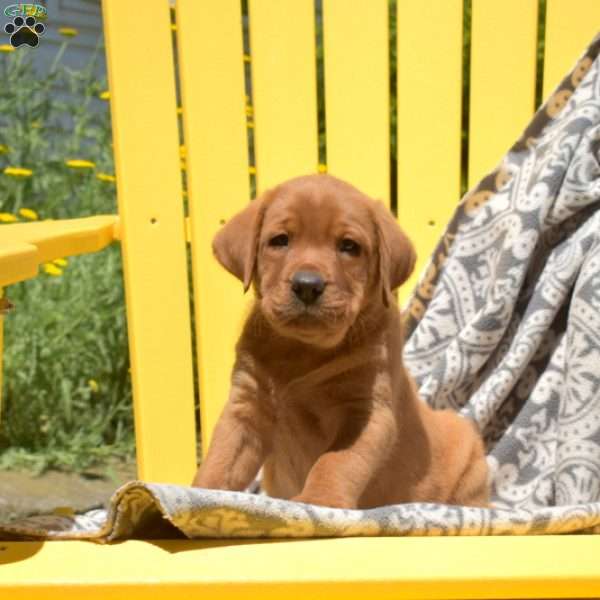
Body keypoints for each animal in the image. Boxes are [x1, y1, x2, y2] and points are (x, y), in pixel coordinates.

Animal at [191, 175, 488, 510]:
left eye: (349, 246)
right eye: (280, 240)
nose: (307, 285)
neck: (302, 350)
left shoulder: (366, 412)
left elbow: (335, 462)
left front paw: (319, 499)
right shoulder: (246, 407)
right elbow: (221, 457)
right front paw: (200, 491)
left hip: (470, 459)